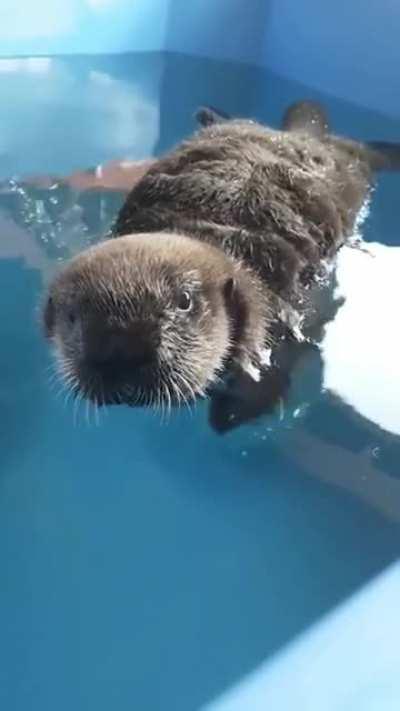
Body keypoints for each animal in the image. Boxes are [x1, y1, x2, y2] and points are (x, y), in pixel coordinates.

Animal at [43, 100, 400, 425]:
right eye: (72, 316)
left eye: (184, 301)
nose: (120, 345)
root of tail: (303, 134)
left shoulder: (282, 324)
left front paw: (229, 413)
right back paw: (209, 113)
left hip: (351, 165)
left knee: (362, 150)